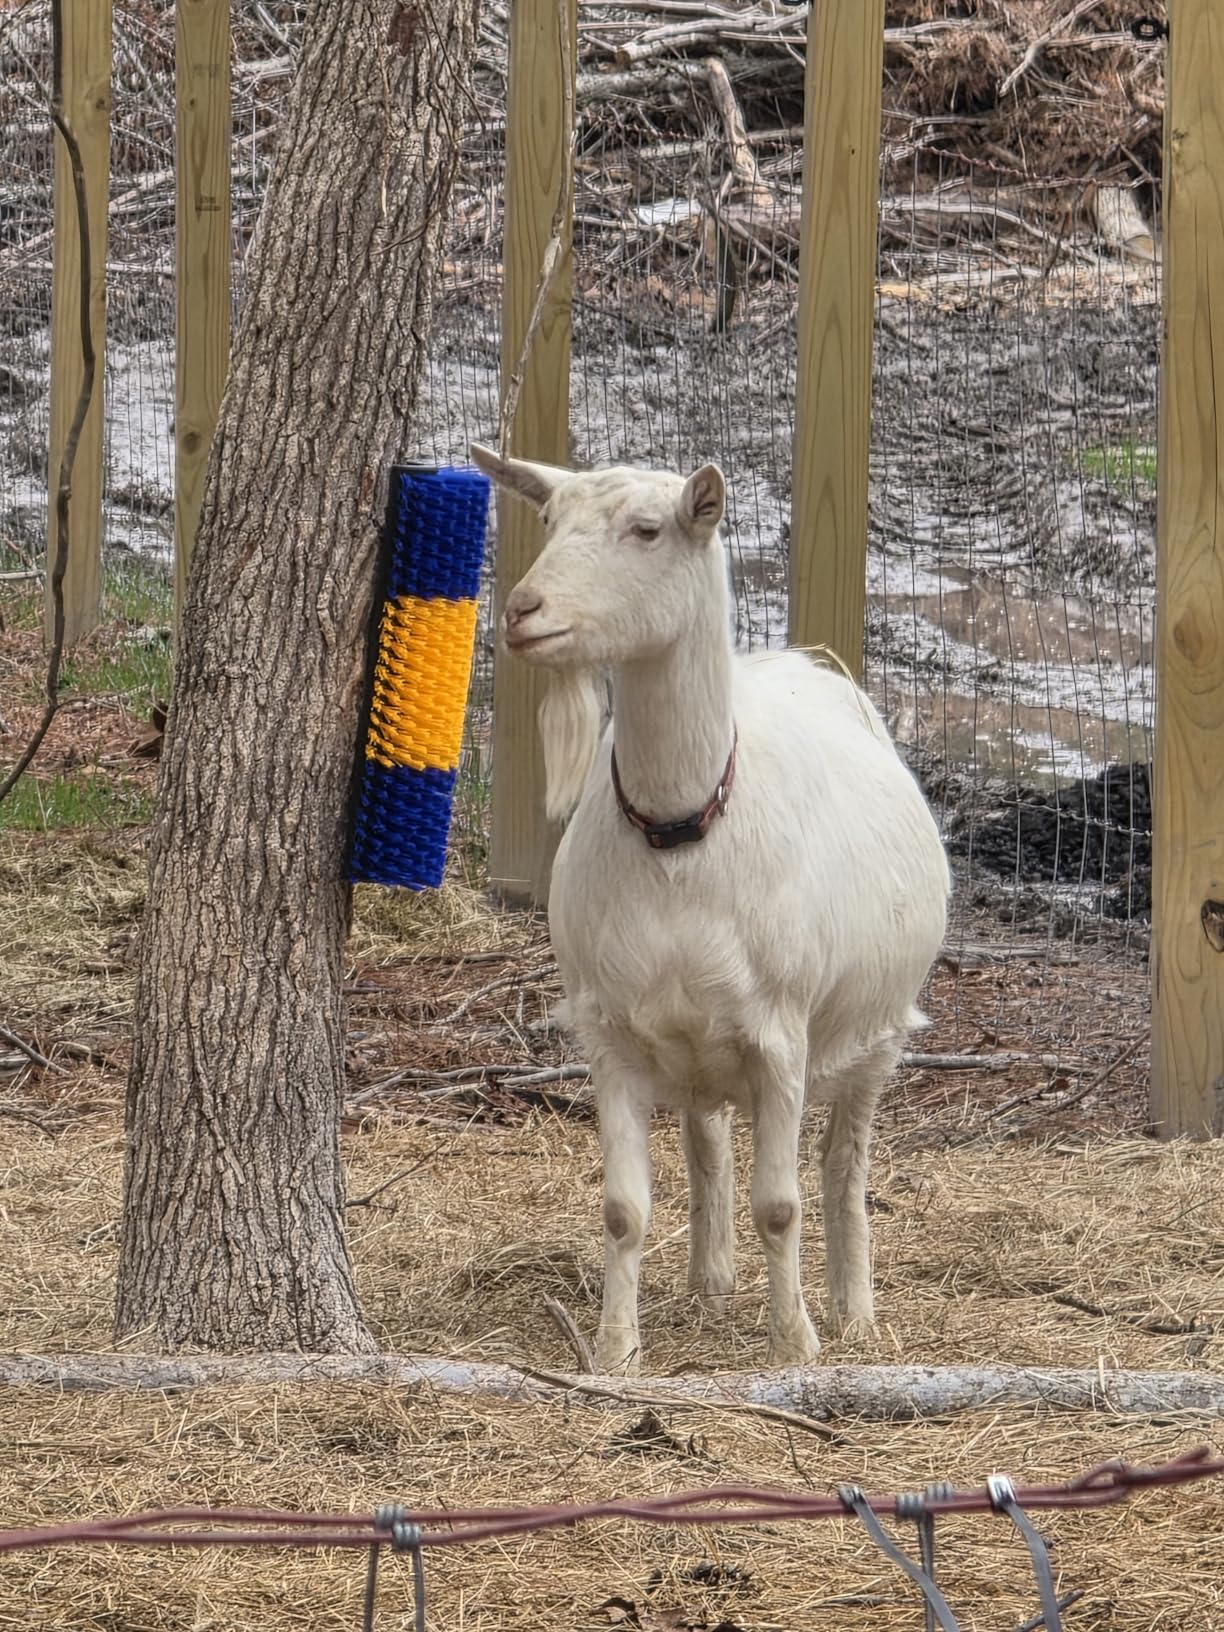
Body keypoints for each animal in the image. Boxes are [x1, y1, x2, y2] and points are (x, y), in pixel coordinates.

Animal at [471, 444, 950, 1374]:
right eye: (549, 519)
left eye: (647, 529)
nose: (521, 611)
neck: (681, 834)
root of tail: (804, 662)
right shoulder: (610, 1032)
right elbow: (623, 1207)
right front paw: (615, 1350)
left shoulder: (782, 1034)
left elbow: (782, 1203)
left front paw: (794, 1343)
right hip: (694, 1040)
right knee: (705, 1137)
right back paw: (711, 1283)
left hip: (877, 1031)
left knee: (844, 1160)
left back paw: (854, 1311)